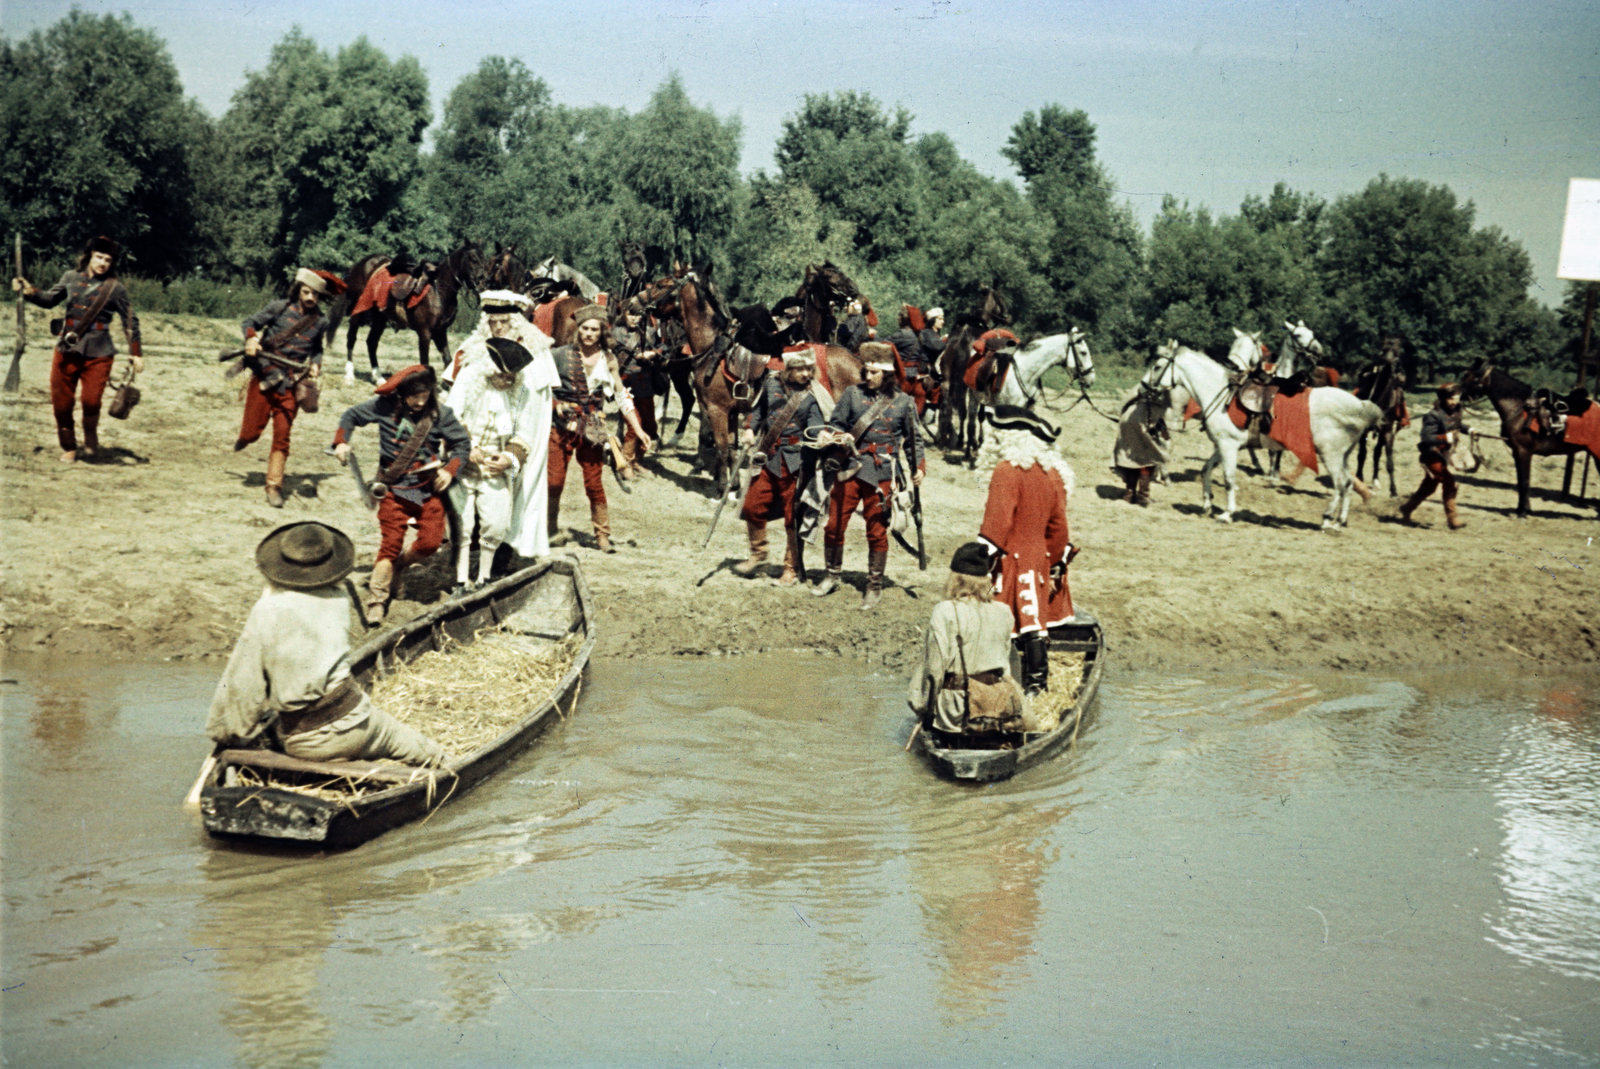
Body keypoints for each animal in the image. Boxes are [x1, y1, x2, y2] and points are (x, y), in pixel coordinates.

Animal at [326, 241, 486, 379]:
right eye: (473, 259)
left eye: (483, 257)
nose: (482, 282)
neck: (438, 291)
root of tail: (356, 266)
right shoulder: (425, 332)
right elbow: (425, 362)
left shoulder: (440, 331)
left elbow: (447, 360)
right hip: (358, 311)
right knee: (351, 338)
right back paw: (350, 374)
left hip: (379, 317)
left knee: (371, 342)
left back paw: (378, 378)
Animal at [1145, 340, 1382, 528]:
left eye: (1157, 366)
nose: (1145, 386)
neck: (1219, 394)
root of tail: (1360, 405)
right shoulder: (1222, 446)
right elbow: (1206, 470)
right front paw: (1206, 504)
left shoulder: (1228, 446)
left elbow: (1229, 479)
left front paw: (1227, 513)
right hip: (1342, 456)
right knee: (1348, 483)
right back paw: (1340, 521)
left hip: (1330, 456)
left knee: (1340, 484)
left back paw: (1326, 519)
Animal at [1350, 331, 1414, 499]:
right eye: (1384, 348)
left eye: (1398, 349)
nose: (1393, 364)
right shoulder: (1364, 429)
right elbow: (1362, 454)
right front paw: (1359, 478)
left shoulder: (1388, 429)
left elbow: (1389, 460)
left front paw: (1393, 490)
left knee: (1377, 452)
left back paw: (1376, 480)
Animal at [1459, 361, 1593, 518]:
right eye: (1465, 374)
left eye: (1474, 378)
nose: (1457, 395)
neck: (1519, 410)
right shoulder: (1517, 453)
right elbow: (1521, 481)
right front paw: (1521, 509)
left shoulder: (1524, 452)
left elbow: (1524, 481)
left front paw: (1523, 512)